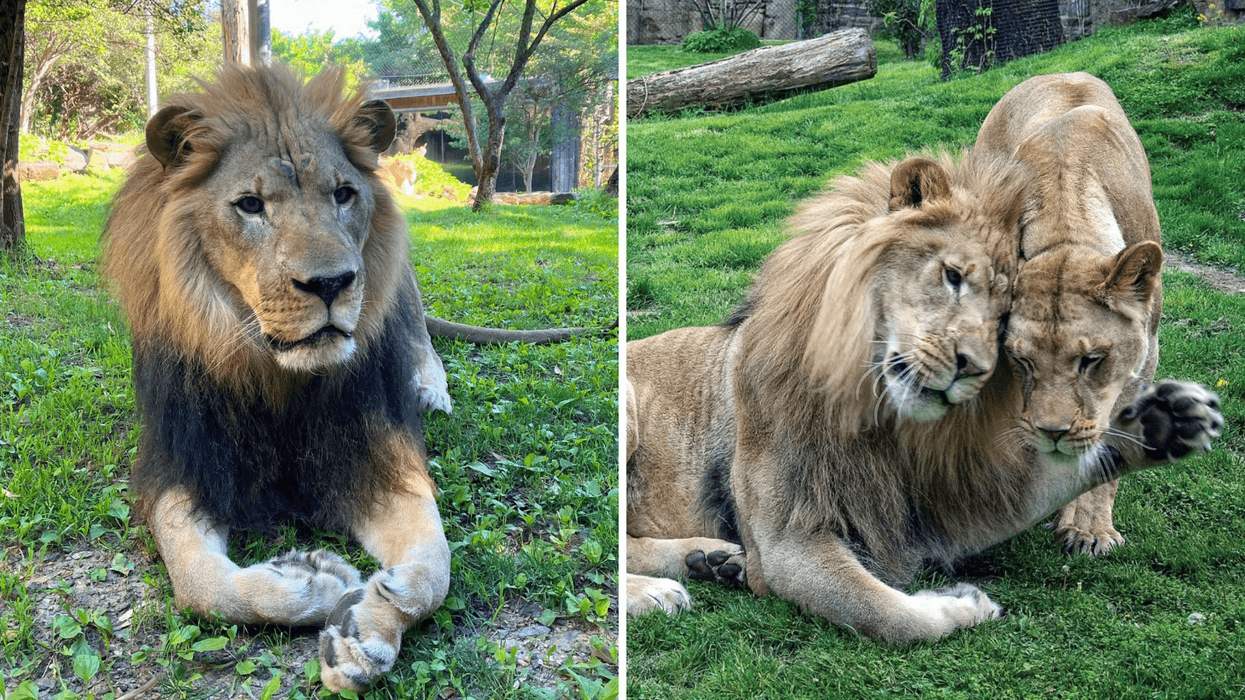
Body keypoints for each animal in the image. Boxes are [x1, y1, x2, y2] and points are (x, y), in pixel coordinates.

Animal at [100, 64, 584, 692]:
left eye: (343, 195)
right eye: (250, 204)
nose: (332, 283)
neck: (279, 380)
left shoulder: (379, 458)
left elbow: (436, 566)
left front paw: (365, 622)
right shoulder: (180, 466)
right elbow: (200, 583)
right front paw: (312, 581)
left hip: (402, 281)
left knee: (421, 342)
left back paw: (429, 392)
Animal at [624, 150, 1223, 642]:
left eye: (1003, 316)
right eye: (953, 276)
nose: (974, 368)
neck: (872, 412)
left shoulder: (933, 501)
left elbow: (1056, 474)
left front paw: (1163, 425)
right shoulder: (784, 539)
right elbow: (885, 612)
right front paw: (964, 605)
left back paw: (709, 559)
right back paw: (656, 590)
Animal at [974, 72, 1167, 556]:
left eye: (1092, 361)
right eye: (1021, 361)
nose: (1054, 433)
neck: (1066, 233)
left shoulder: (1143, 362)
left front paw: (1090, 528)